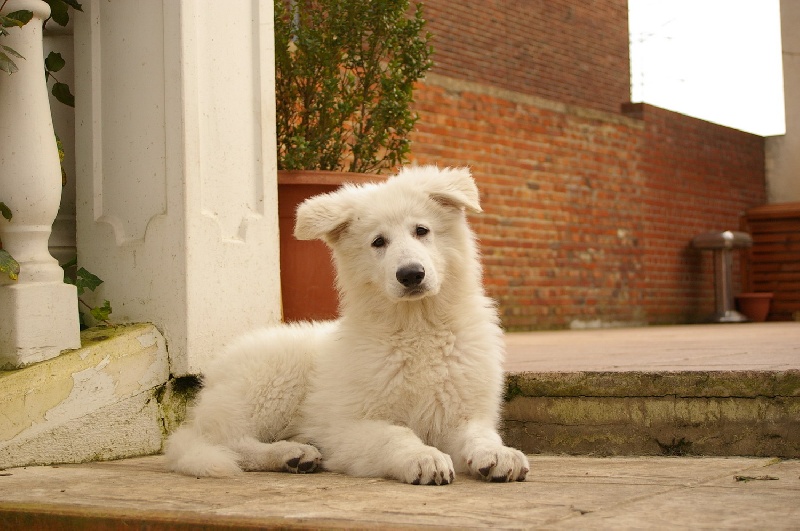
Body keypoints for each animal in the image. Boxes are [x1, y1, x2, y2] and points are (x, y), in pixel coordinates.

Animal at [165, 166, 528, 486]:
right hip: (270, 383)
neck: (416, 327)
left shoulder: (460, 413)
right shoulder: (348, 429)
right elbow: (395, 435)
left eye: (422, 231)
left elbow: (480, 434)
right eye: (378, 242)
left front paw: (499, 454)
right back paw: (291, 453)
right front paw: (423, 457)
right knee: (228, 442)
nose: (411, 274)